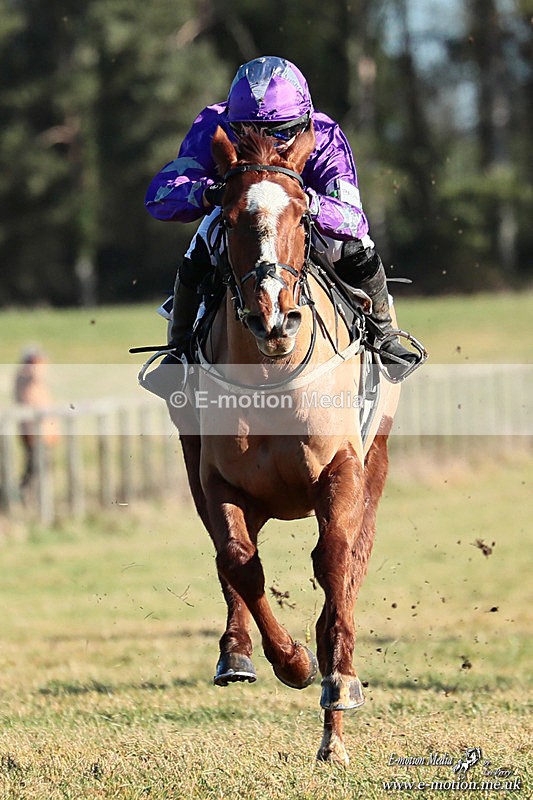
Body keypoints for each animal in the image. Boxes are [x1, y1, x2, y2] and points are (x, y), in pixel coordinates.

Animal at [167, 123, 401, 765]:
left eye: (301, 213)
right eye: (228, 216)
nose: (275, 320)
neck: (272, 375)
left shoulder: (342, 470)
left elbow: (335, 562)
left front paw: (338, 679)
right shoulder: (219, 481)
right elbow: (239, 563)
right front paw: (290, 662)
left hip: (375, 461)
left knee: (349, 565)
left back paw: (333, 731)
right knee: (229, 560)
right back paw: (237, 654)